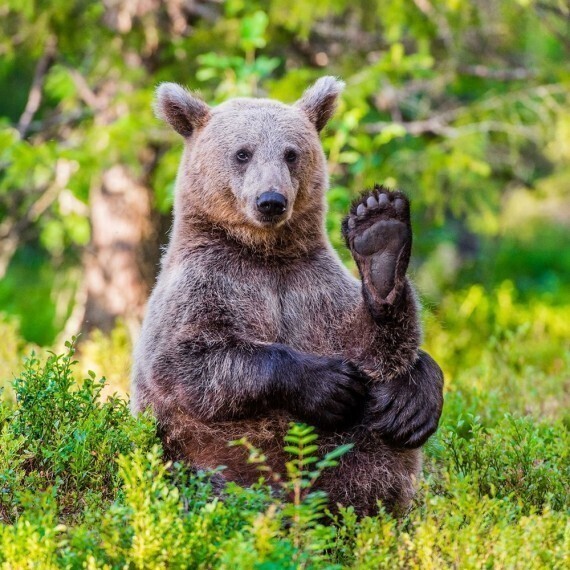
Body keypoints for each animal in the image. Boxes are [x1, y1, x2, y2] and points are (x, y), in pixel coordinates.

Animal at [132, 76, 444, 516]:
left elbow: (371, 348)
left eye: (291, 153)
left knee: (374, 453)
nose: (271, 201)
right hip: (207, 457)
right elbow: (186, 362)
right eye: (242, 153)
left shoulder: (311, 288)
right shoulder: (203, 285)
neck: (265, 254)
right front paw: (328, 384)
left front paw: (380, 237)